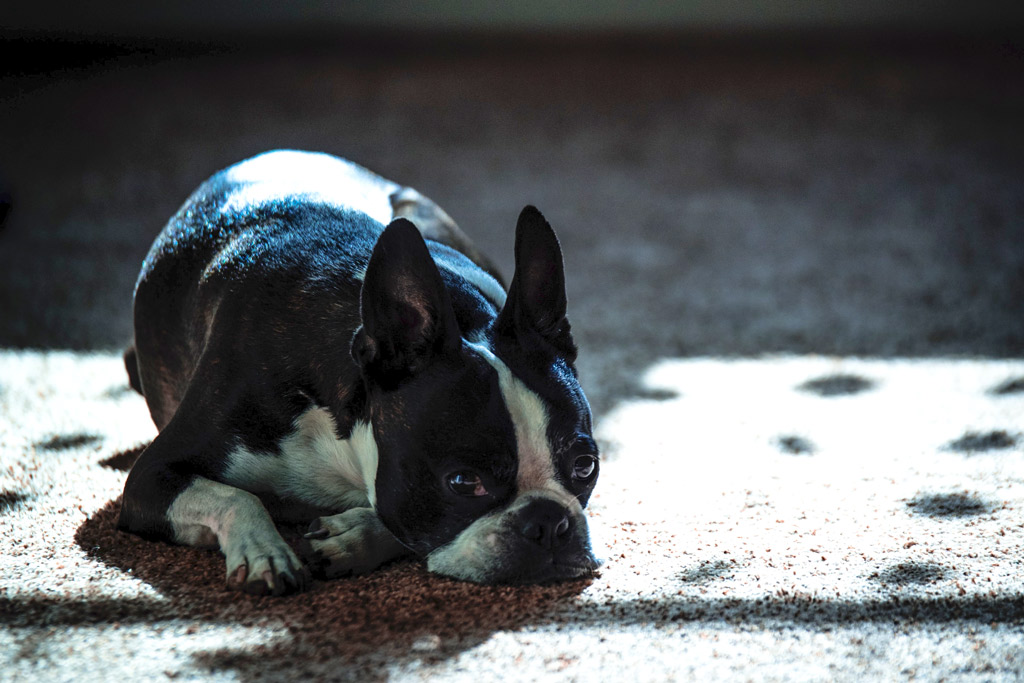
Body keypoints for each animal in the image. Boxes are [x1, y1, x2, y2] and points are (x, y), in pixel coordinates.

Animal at [117, 149, 598, 593]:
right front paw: (265, 552)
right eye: (464, 482)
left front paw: (356, 536)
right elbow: (238, 497)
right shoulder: (150, 479)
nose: (549, 523)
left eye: (586, 466)